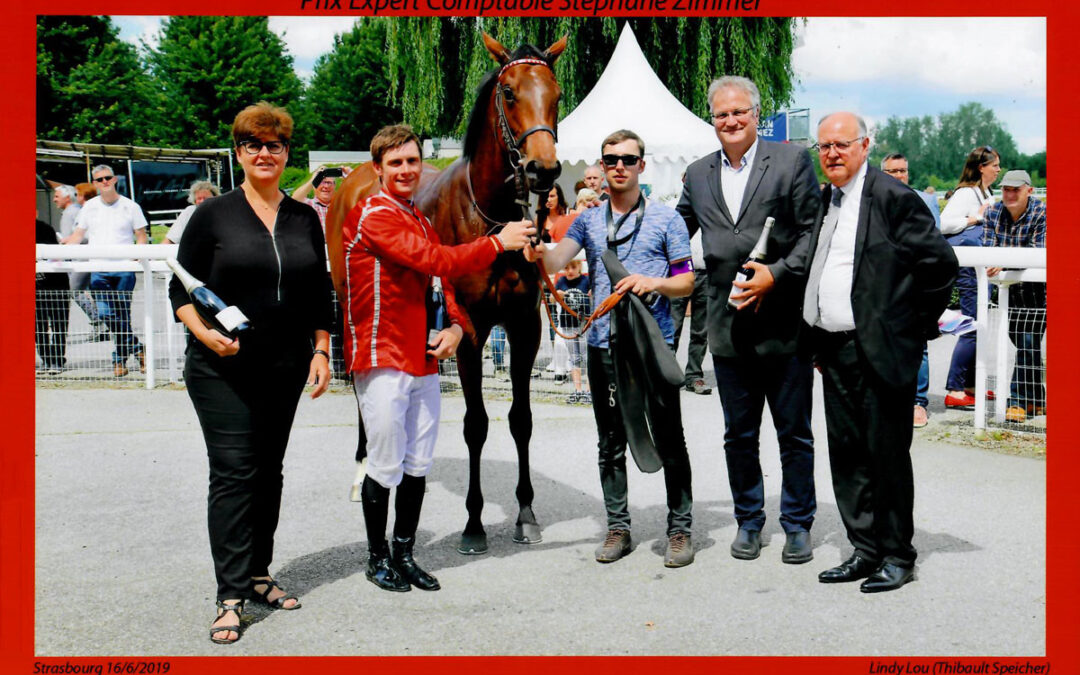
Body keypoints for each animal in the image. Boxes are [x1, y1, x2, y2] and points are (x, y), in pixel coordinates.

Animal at [324, 32, 565, 552]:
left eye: (556, 95)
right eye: (509, 92)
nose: (543, 169)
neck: (490, 216)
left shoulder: (524, 328)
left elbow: (521, 420)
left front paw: (526, 514)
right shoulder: (470, 332)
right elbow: (476, 425)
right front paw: (475, 524)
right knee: (360, 381)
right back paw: (362, 469)